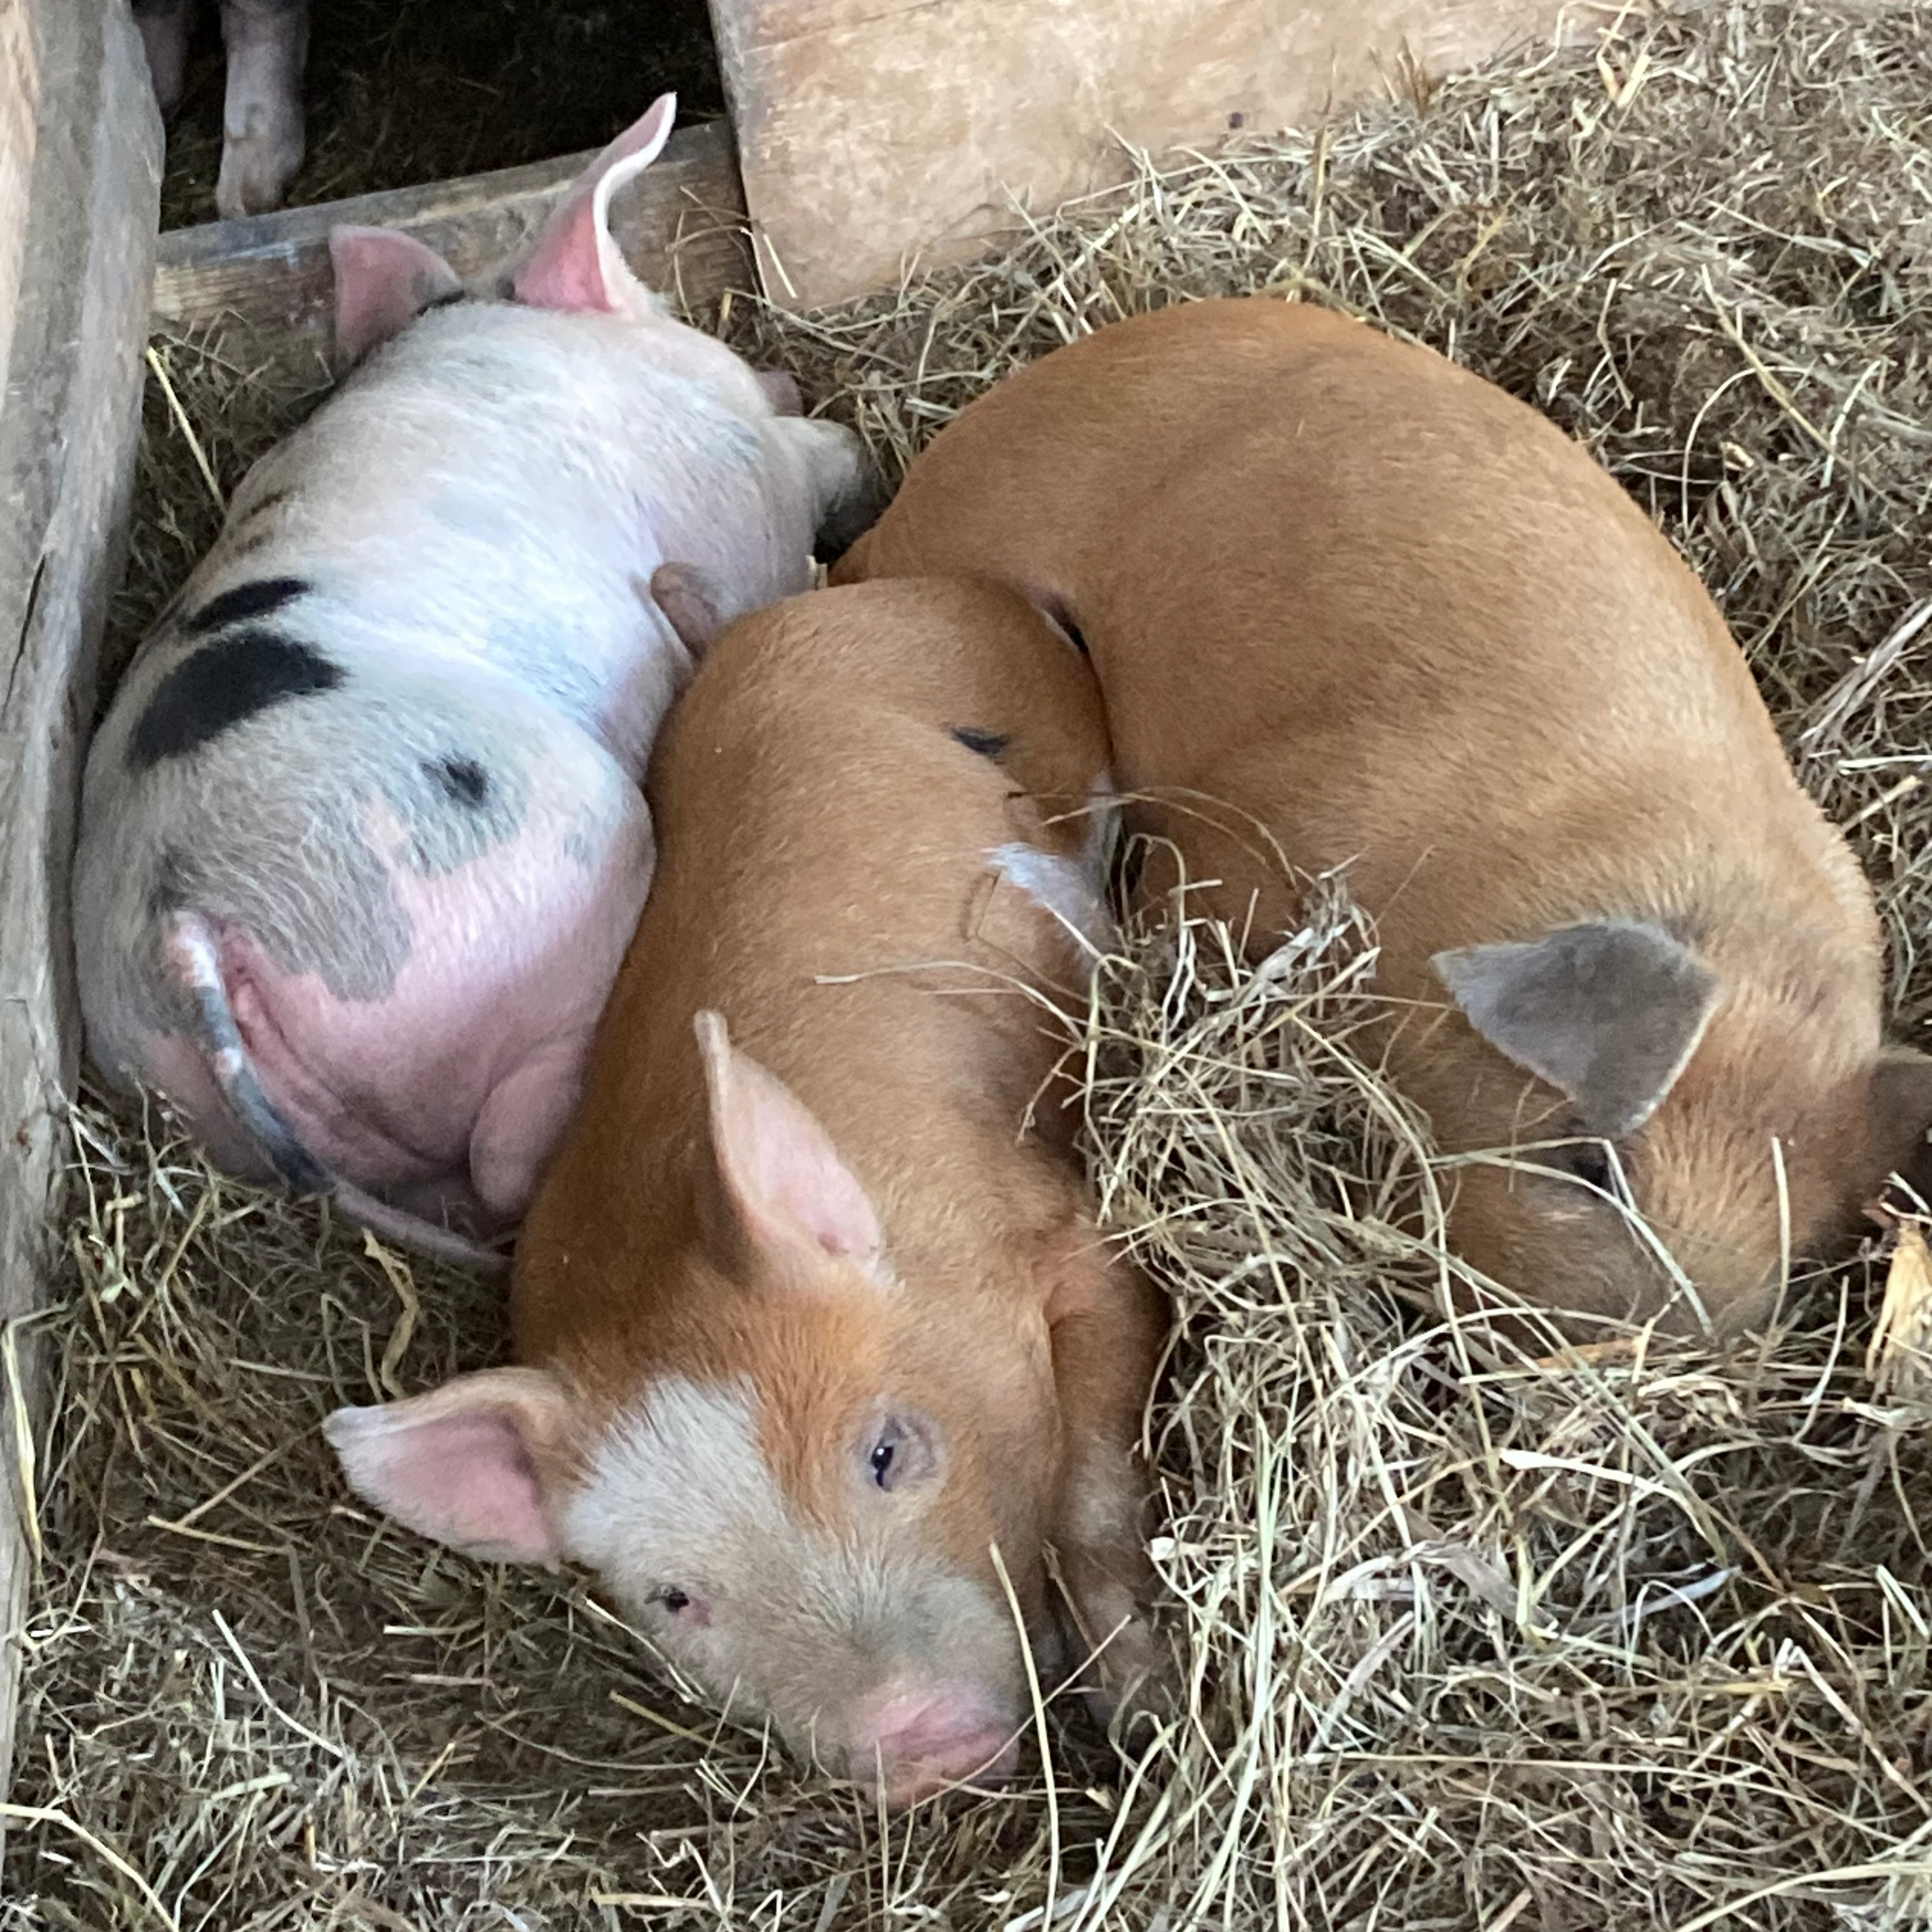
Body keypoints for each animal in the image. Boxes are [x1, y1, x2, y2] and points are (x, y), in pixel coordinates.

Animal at [76, 96, 873, 1269]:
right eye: (670, 311)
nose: (786, 377)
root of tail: (189, 917)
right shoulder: (740, 492)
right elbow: (795, 489)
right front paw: (844, 451)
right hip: (557, 857)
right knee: (509, 1159)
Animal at [325, 574, 1169, 1804]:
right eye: (677, 1598)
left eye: (886, 1451)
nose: (921, 1741)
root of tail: (823, 604)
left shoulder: (1070, 1237)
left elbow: (1096, 1481)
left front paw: (1146, 1704)